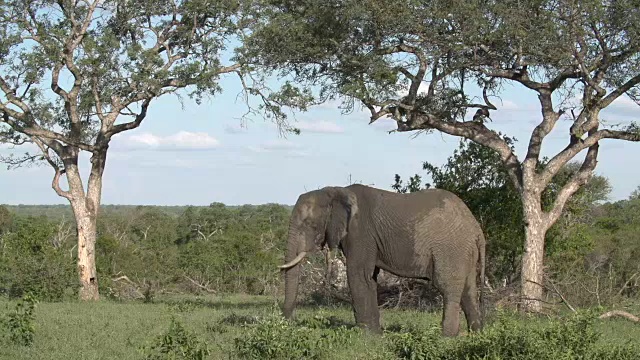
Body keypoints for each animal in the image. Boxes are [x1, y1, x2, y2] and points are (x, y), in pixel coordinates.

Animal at [278, 184, 484, 336]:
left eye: (310, 225)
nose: (289, 321)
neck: (334, 190)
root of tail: (476, 228)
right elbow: (370, 278)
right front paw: (376, 334)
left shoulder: (360, 232)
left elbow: (359, 275)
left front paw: (365, 335)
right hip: (465, 252)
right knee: (469, 290)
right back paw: (476, 334)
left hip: (451, 249)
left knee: (447, 287)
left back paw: (447, 337)